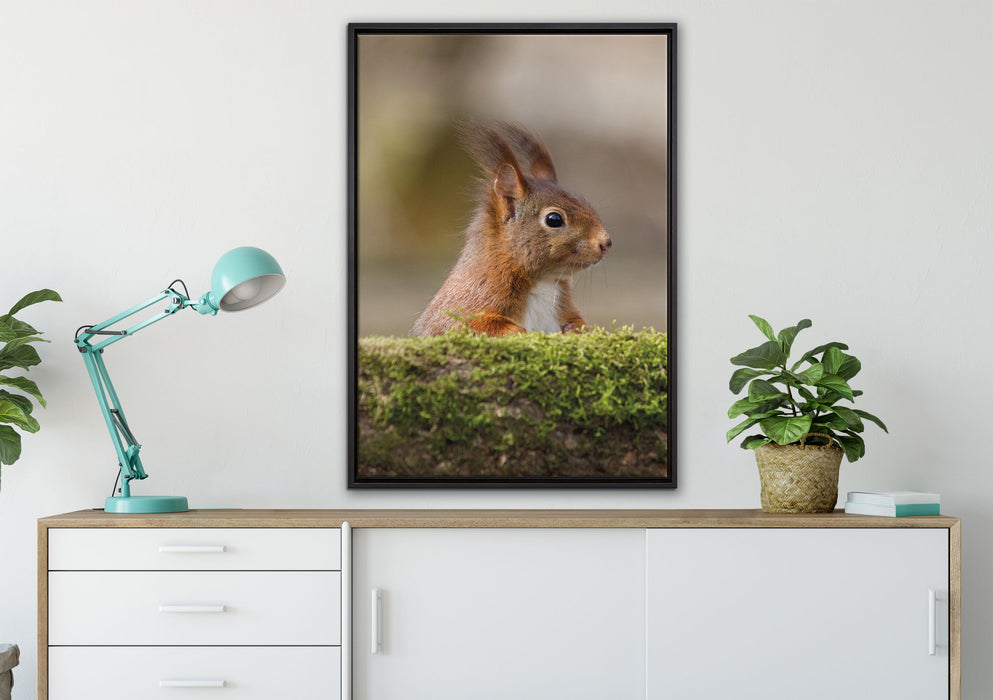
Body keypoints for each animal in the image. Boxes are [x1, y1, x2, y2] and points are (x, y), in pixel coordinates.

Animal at [410, 122, 612, 337]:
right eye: (554, 219)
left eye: (586, 203)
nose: (606, 243)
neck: (544, 282)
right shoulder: (469, 302)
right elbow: (470, 325)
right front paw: (518, 331)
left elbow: (578, 322)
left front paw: (575, 329)